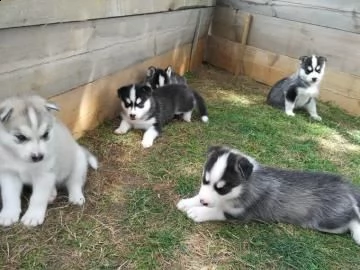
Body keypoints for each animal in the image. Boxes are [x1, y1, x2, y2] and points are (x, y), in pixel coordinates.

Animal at [0, 95, 97, 226]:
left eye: (45, 134)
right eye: (21, 137)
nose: (38, 157)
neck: (22, 162)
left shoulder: (44, 175)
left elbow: (38, 197)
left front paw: (33, 216)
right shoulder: (9, 174)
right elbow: (9, 196)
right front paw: (8, 214)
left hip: (78, 163)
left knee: (74, 182)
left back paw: (76, 196)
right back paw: (52, 194)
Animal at [177, 147, 360, 246]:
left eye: (223, 188)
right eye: (205, 180)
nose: (203, 201)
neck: (245, 186)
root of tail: (346, 186)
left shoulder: (241, 214)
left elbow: (218, 210)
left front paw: (198, 212)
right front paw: (188, 202)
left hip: (328, 221)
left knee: (351, 219)